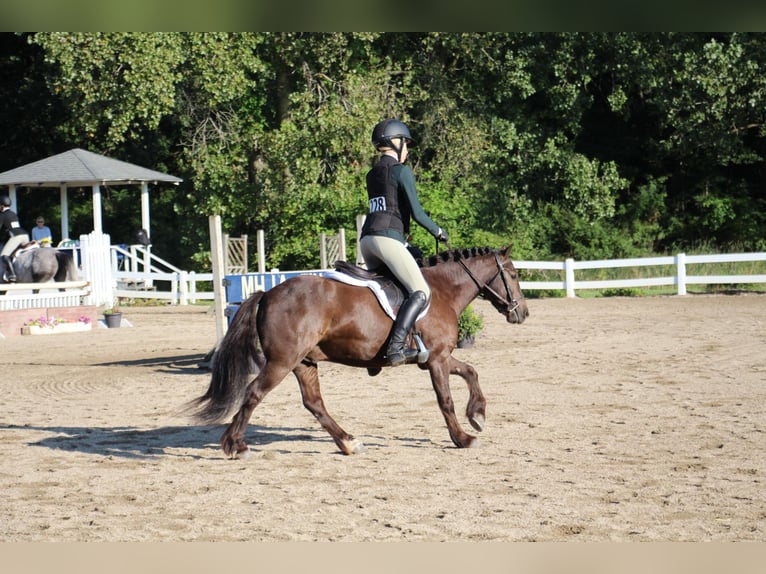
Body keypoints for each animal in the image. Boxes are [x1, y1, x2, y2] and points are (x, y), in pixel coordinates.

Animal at [189, 246, 532, 460]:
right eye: (514, 276)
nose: (523, 313)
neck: (444, 290)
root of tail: (268, 293)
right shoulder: (436, 359)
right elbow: (445, 401)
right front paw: (462, 438)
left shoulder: (439, 357)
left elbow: (471, 371)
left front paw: (478, 415)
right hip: (281, 362)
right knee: (253, 393)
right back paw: (236, 445)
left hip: (304, 362)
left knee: (314, 403)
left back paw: (348, 443)